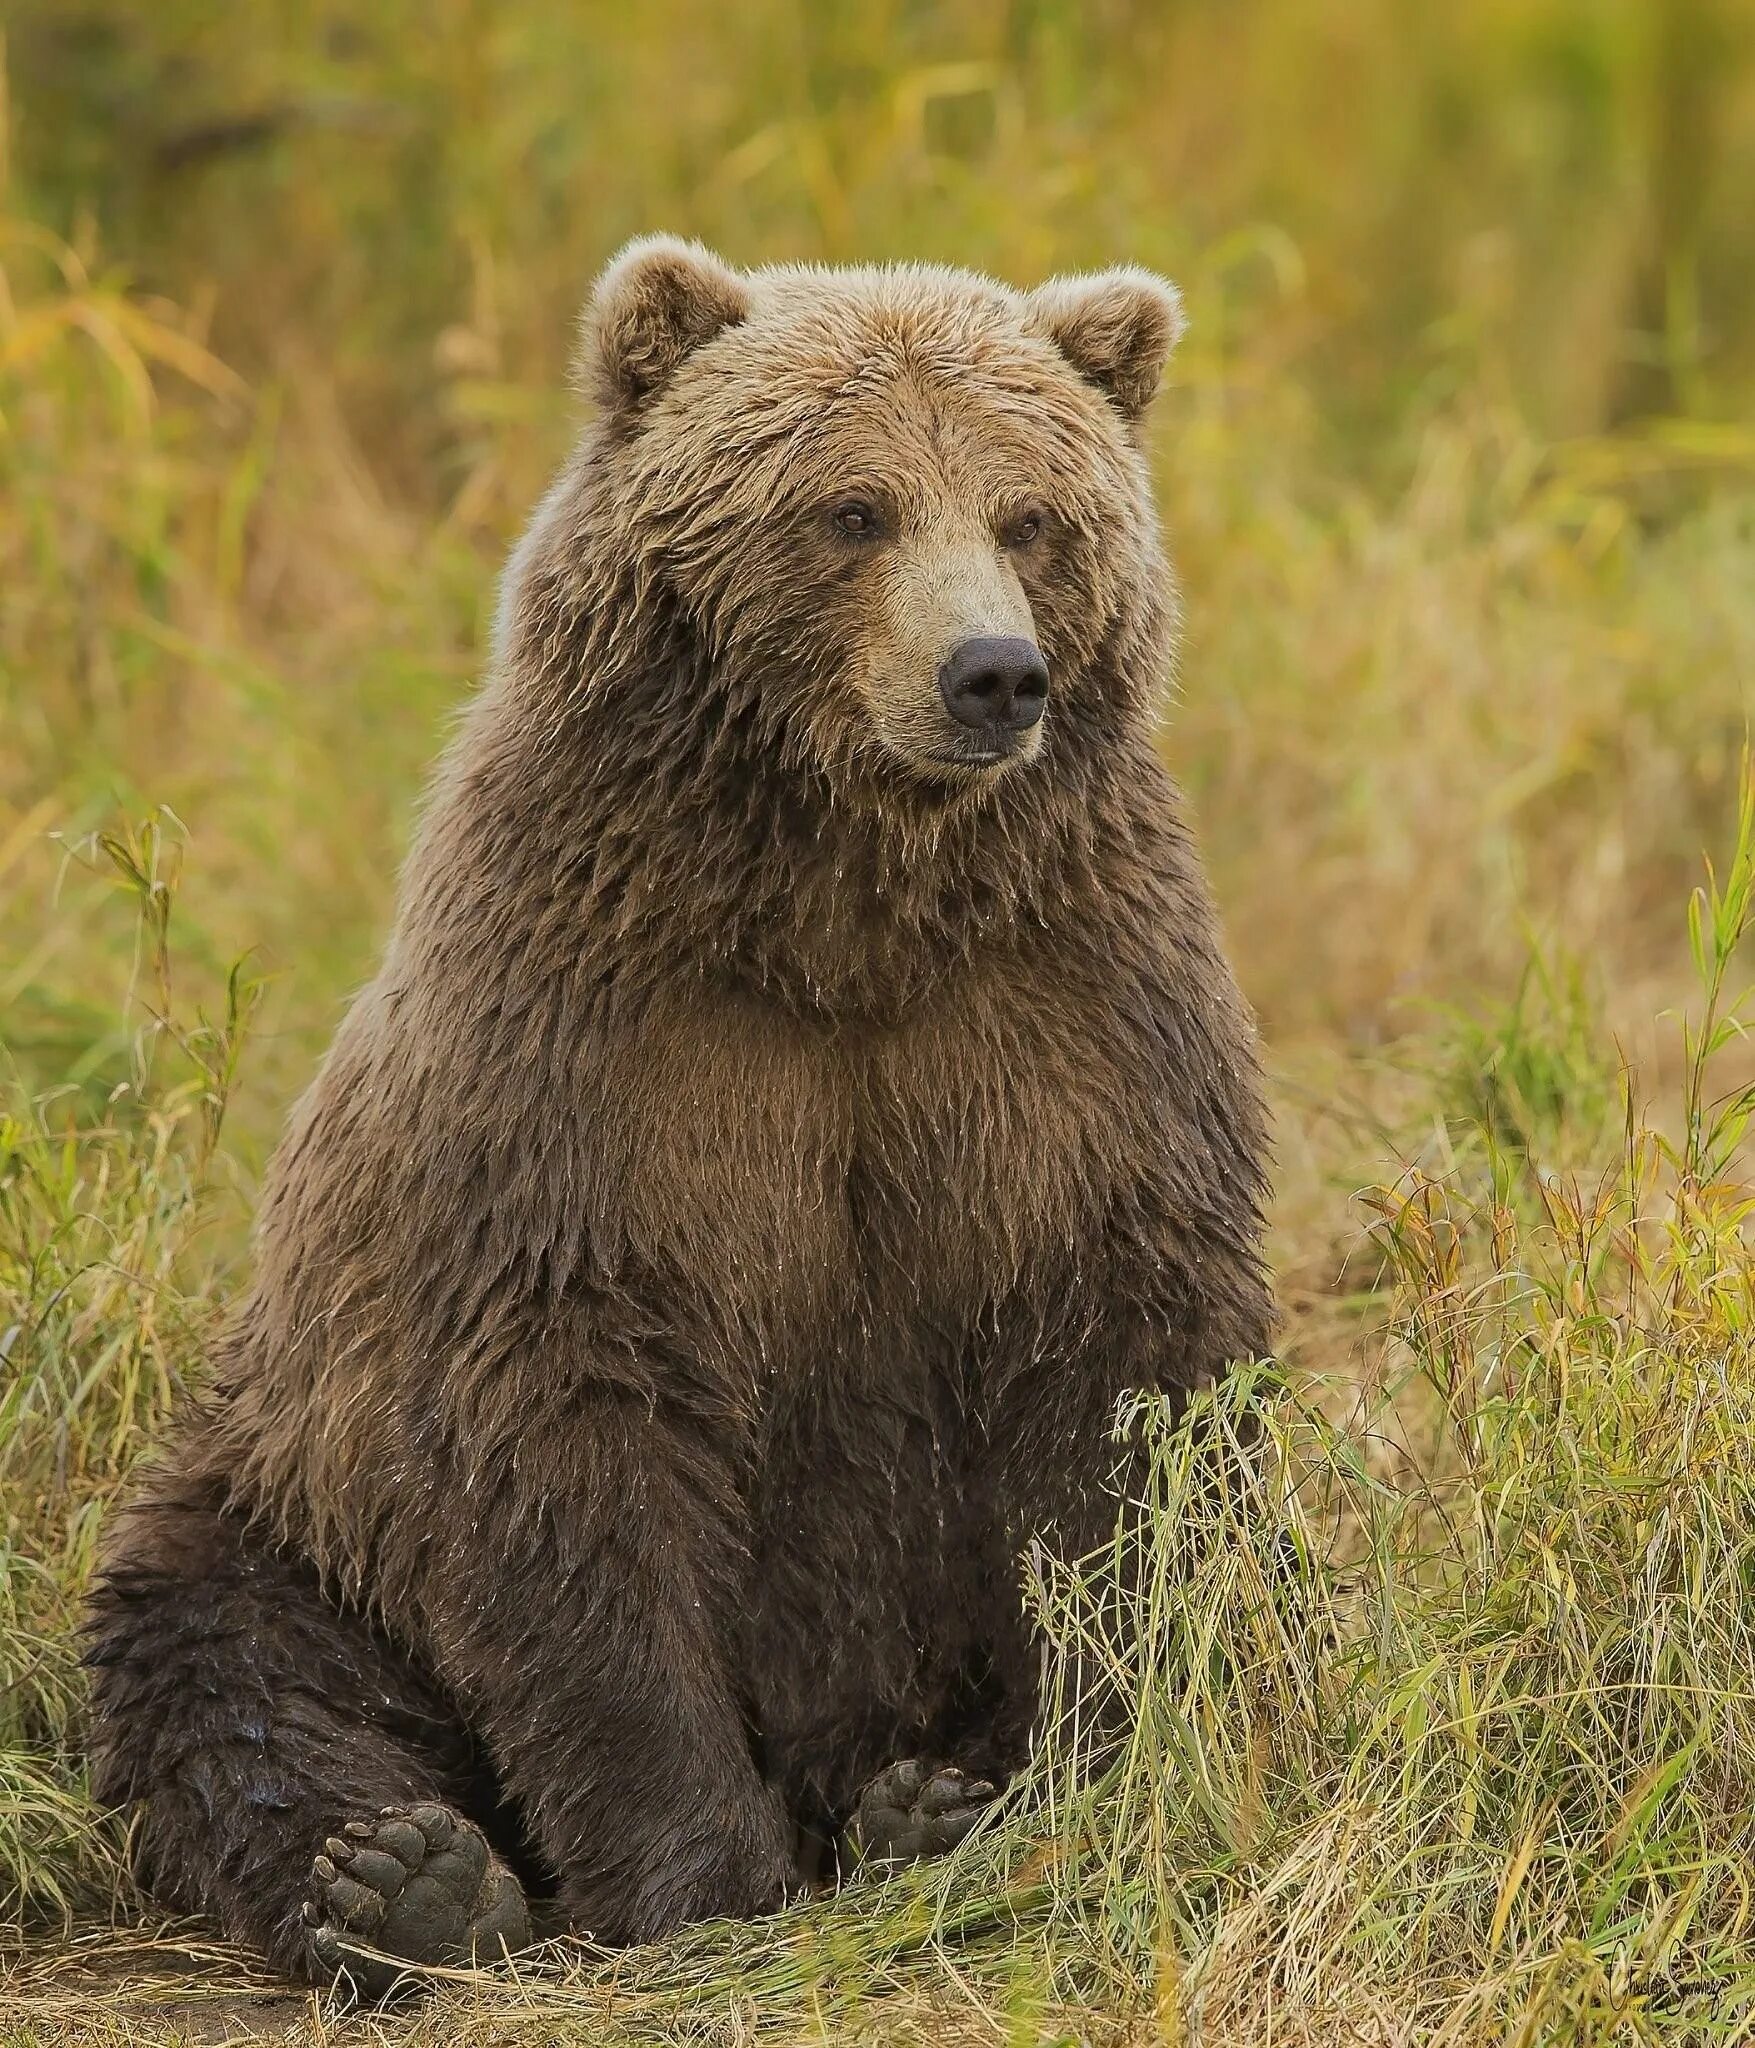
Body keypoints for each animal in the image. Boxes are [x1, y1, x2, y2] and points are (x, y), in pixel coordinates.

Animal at [85, 239, 1261, 1998]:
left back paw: (926, 1806)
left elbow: (1126, 1394)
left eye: (1029, 515)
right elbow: (560, 1444)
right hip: (289, 1487)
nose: (991, 674)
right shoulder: (587, 1048)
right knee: (224, 1656)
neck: (843, 908)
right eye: (852, 508)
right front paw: (698, 1870)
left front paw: (1100, 1761)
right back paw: (405, 1876)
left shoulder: (1060, 1016)